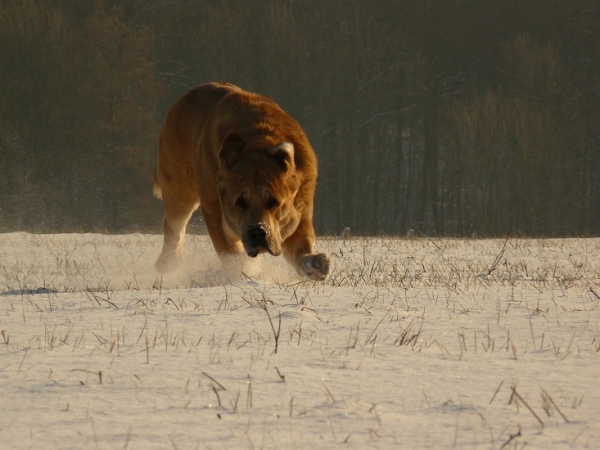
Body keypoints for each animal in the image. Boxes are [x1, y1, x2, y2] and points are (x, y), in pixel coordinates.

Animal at [152, 82, 330, 280]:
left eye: (273, 201)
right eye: (240, 202)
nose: (257, 231)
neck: (258, 145)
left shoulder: (298, 212)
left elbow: (301, 244)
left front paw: (316, 264)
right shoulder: (215, 213)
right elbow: (230, 253)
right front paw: (240, 275)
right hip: (180, 191)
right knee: (174, 227)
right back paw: (168, 264)